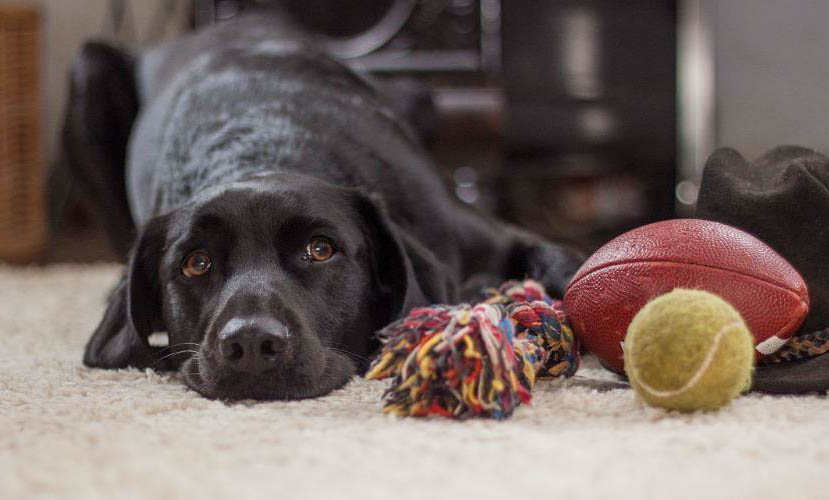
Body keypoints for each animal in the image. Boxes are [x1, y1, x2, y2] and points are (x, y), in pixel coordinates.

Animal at [63, 12, 584, 402]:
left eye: (320, 249)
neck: (262, 152)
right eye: (197, 263)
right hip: (88, 68)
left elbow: (567, 265)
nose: (250, 343)